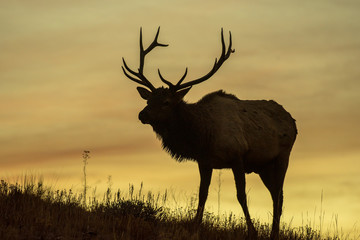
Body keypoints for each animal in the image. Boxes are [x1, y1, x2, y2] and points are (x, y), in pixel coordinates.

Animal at [122, 27, 296, 239]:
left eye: (166, 102)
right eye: (148, 100)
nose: (142, 114)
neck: (203, 136)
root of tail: (292, 121)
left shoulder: (237, 155)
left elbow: (241, 195)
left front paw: (252, 231)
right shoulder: (204, 161)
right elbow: (202, 194)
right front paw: (194, 227)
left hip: (283, 156)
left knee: (278, 195)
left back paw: (274, 233)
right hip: (263, 166)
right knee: (277, 195)